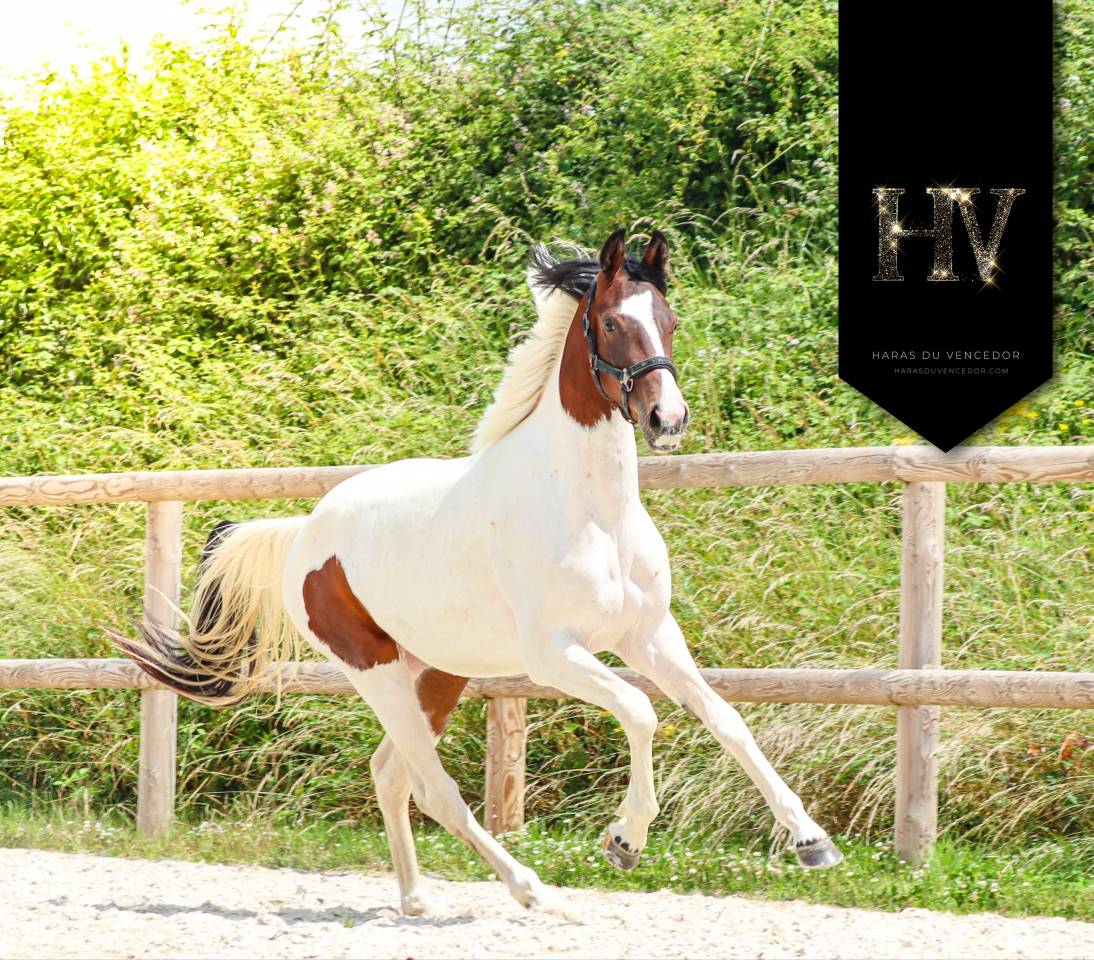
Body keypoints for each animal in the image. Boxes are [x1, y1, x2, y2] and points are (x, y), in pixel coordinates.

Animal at [122, 228, 842, 917]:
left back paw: (416, 899)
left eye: (668, 319)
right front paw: (624, 840)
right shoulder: (556, 655)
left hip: (437, 672)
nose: (669, 419)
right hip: (377, 673)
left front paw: (811, 841)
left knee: (392, 773)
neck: (591, 513)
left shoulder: (650, 636)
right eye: (612, 322)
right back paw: (532, 890)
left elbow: (726, 718)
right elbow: (640, 712)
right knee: (434, 788)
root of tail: (304, 533)